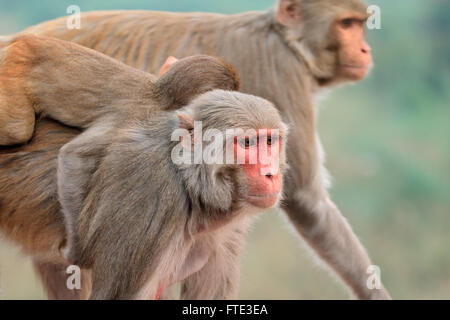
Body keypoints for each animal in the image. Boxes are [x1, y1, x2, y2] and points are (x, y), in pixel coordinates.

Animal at [7, 0, 392, 300]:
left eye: (359, 25)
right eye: (346, 24)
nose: (365, 51)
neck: (284, 39)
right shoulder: (282, 73)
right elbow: (307, 200)